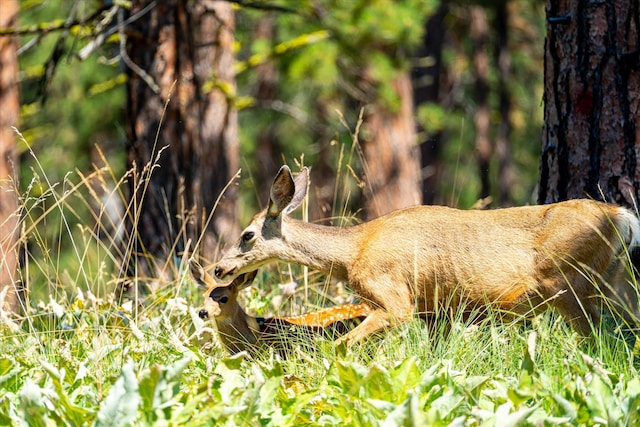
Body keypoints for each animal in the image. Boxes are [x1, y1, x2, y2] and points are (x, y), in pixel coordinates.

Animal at [212, 166, 640, 346]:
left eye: (247, 235)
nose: (218, 268)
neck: (353, 252)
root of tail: (620, 216)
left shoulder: (395, 299)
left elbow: (340, 345)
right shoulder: (435, 310)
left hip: (568, 283)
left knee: (597, 339)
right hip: (616, 280)